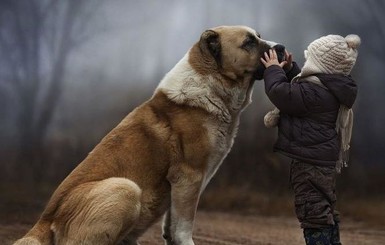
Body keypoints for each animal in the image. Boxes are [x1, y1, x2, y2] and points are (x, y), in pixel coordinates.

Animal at [14, 25, 282, 244]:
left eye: (258, 36)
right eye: (248, 42)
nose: (281, 47)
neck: (212, 86)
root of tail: (44, 221)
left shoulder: (181, 185)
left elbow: (171, 223)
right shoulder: (190, 176)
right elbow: (184, 226)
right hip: (126, 188)